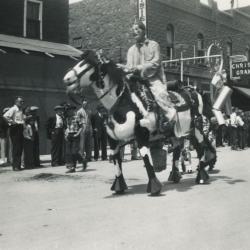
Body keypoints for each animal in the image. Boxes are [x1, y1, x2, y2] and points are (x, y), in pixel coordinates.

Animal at [64, 49, 217, 196]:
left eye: (87, 64)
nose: (67, 78)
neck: (124, 104)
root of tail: (194, 91)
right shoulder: (113, 140)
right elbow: (116, 161)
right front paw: (119, 187)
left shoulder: (141, 134)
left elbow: (145, 158)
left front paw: (154, 188)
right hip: (177, 133)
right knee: (178, 150)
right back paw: (175, 175)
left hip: (196, 129)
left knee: (201, 148)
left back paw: (201, 176)